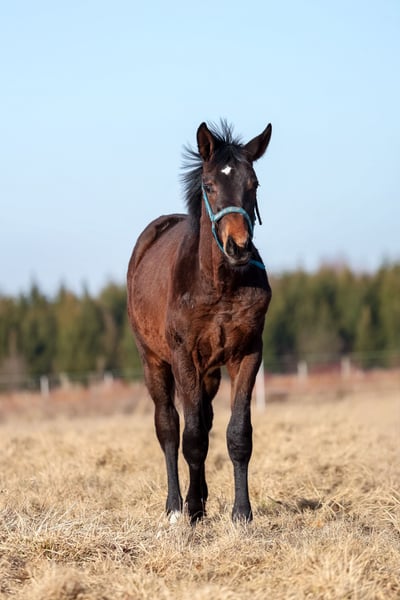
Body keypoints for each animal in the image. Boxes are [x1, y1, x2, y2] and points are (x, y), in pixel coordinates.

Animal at [127, 120, 272, 523]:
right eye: (209, 185)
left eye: (254, 183)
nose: (238, 247)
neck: (219, 284)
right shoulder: (183, 357)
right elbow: (190, 437)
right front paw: (190, 511)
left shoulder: (247, 354)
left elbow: (238, 434)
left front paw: (242, 513)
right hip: (154, 361)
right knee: (169, 426)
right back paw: (176, 506)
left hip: (210, 372)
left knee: (204, 420)